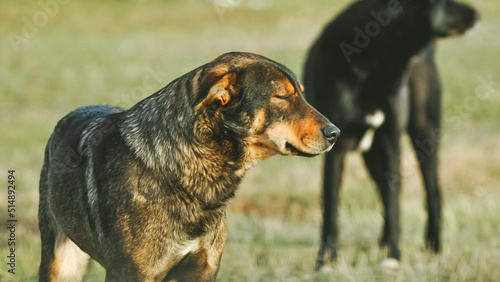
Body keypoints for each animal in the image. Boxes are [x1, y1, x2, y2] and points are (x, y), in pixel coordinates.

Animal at [37, 51, 338, 280]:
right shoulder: (131, 273)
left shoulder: (203, 268)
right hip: (62, 263)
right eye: (282, 97)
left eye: (302, 95)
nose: (336, 133)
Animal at [302, 0, 478, 268]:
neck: (373, 64)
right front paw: (327, 260)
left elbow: (394, 203)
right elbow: (331, 205)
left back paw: (433, 246)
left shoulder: (390, 142)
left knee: (432, 192)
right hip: (373, 155)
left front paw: (393, 255)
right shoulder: (336, 148)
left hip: (424, 134)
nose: (477, 14)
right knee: (384, 191)